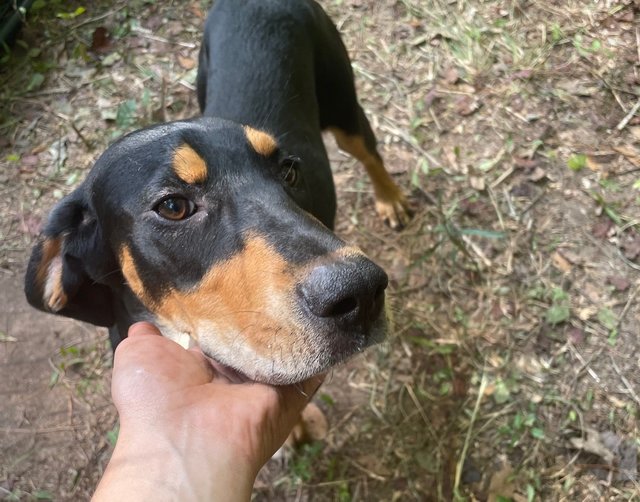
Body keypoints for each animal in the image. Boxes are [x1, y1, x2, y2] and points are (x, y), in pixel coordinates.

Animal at [23, 0, 410, 384]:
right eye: (173, 206)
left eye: (288, 171)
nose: (361, 289)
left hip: (343, 108)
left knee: (369, 152)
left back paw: (390, 199)